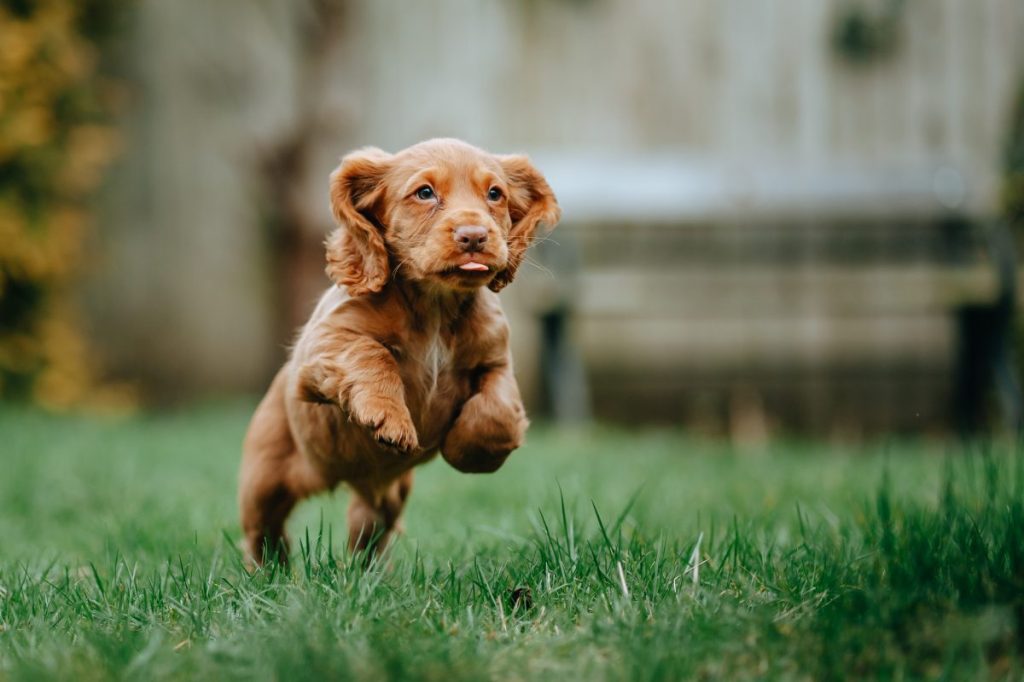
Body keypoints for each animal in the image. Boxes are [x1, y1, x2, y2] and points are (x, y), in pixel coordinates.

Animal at [237, 135, 561, 561]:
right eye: (424, 193)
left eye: (495, 194)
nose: (474, 236)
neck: (436, 304)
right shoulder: (325, 343)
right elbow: (371, 354)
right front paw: (388, 418)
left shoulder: (496, 362)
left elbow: (498, 411)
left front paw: (469, 452)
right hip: (263, 480)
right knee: (263, 531)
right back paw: (270, 570)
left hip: (384, 498)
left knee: (368, 531)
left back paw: (363, 574)